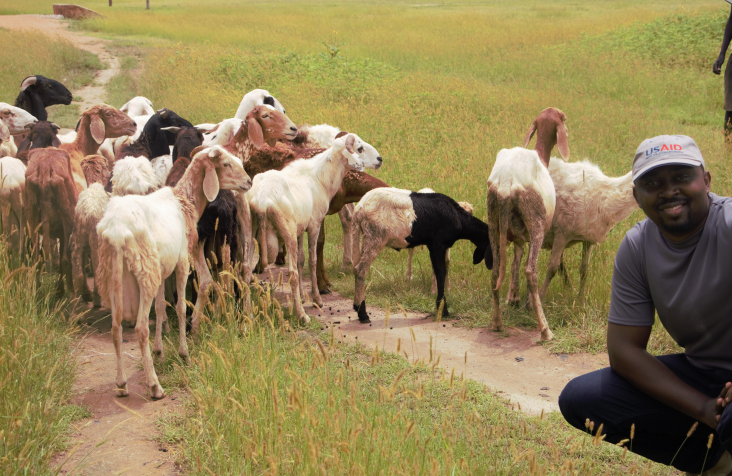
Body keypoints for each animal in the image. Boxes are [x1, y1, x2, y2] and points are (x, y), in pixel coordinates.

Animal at [71, 156, 111, 304]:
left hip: (78, 238)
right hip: (95, 241)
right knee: (97, 270)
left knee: (77, 274)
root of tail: (87, 213)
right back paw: (98, 300)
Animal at [96, 144, 250, 398]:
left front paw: (159, 351)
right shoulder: (181, 262)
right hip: (145, 271)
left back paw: (121, 384)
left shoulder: (162, 268)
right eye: (226, 164)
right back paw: (154, 385)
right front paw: (184, 353)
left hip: (114, 274)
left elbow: (160, 307)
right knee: (140, 328)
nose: (248, 182)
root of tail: (117, 232)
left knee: (115, 328)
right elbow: (180, 307)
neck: (185, 200)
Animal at [249, 133, 380, 324]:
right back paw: (302, 315)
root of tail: (262, 198)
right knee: (293, 274)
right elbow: (312, 260)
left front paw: (304, 296)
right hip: (287, 231)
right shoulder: (314, 225)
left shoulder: (301, 228)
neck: (319, 176)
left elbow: (301, 259)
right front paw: (317, 298)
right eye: (359, 148)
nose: (380, 159)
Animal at [486, 106, 572, 340]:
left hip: (493, 220)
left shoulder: (517, 235)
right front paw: (524, 303)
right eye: (562, 119)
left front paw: (513, 298)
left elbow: (516, 257)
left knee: (496, 270)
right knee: (530, 271)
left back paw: (497, 323)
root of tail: (507, 184)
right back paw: (545, 329)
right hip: (537, 222)